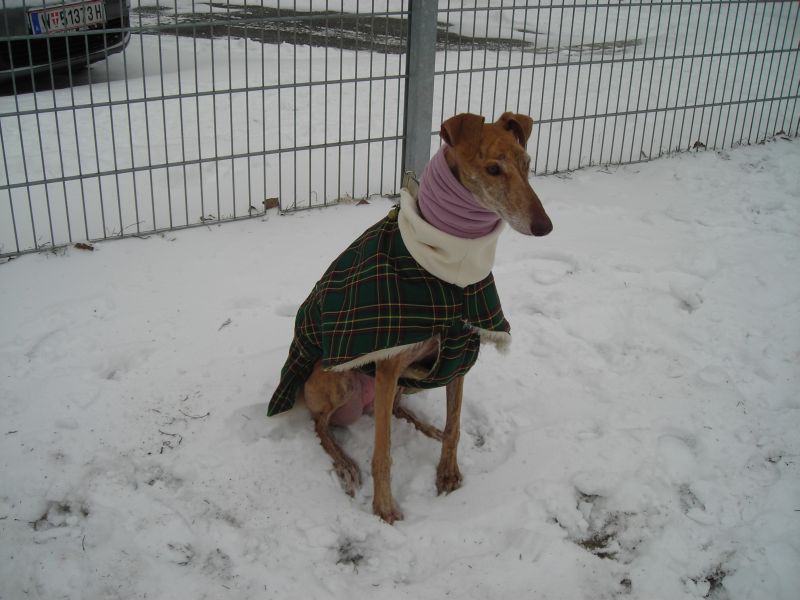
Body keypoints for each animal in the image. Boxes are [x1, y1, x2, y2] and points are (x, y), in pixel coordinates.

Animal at [268, 112, 552, 523]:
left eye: (527, 164)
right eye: (493, 169)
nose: (544, 226)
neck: (450, 273)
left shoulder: (458, 354)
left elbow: (455, 425)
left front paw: (447, 473)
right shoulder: (387, 364)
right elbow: (382, 454)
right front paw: (384, 508)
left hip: (407, 379)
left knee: (397, 410)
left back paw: (426, 429)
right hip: (339, 378)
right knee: (321, 424)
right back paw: (345, 465)